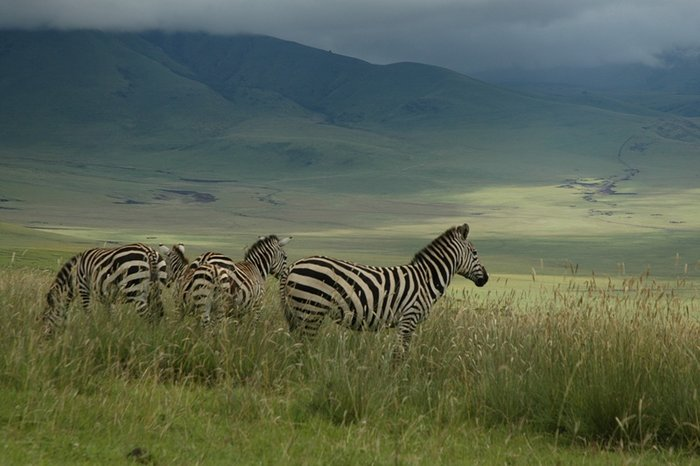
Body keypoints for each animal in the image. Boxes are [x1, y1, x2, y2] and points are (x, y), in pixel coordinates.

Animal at [280, 223, 488, 357]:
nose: (486, 279)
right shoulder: (409, 319)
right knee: (304, 346)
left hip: (300, 312)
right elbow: (400, 354)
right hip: (311, 310)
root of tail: (293, 265)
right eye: (475, 253)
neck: (426, 279)